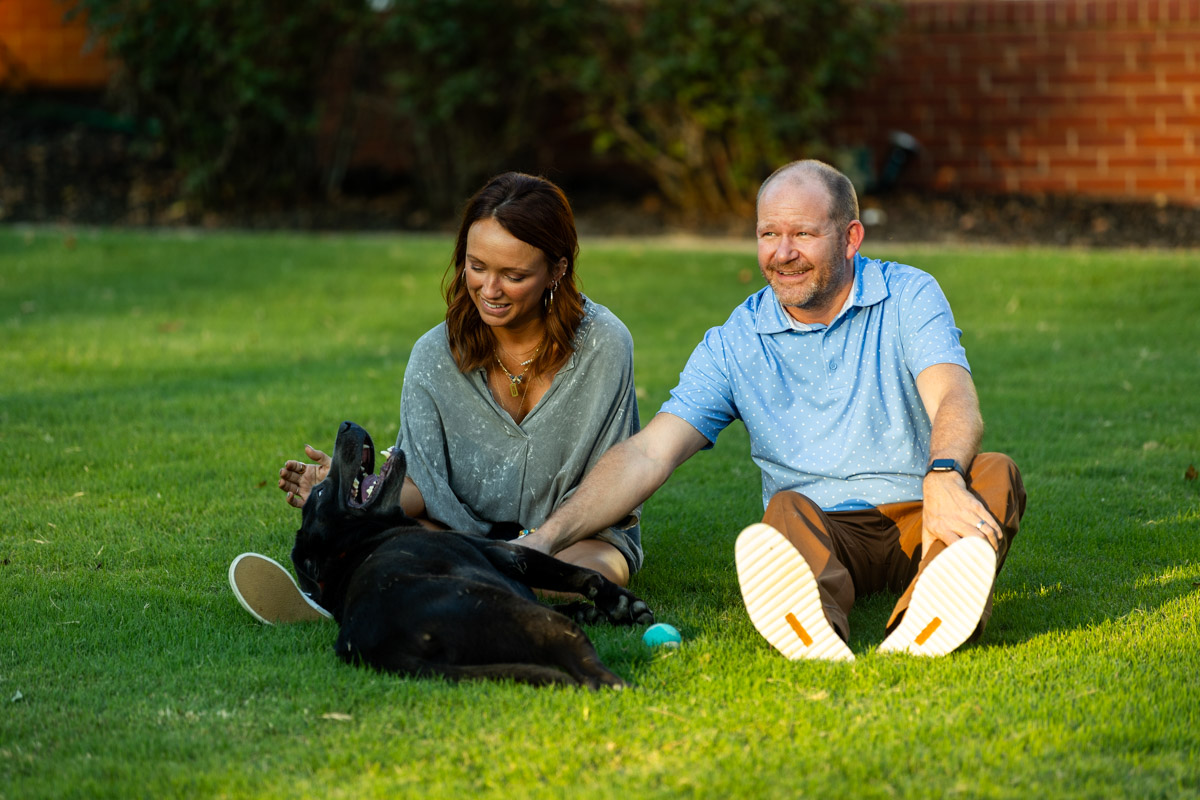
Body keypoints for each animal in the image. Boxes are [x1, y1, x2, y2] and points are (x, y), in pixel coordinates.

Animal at [291, 422, 657, 690]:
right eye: (321, 492)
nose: (345, 425)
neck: (358, 542)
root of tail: (381, 647)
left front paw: (591, 610)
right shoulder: (506, 552)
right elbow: (578, 574)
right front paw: (620, 603)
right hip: (530, 618)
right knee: (592, 677)